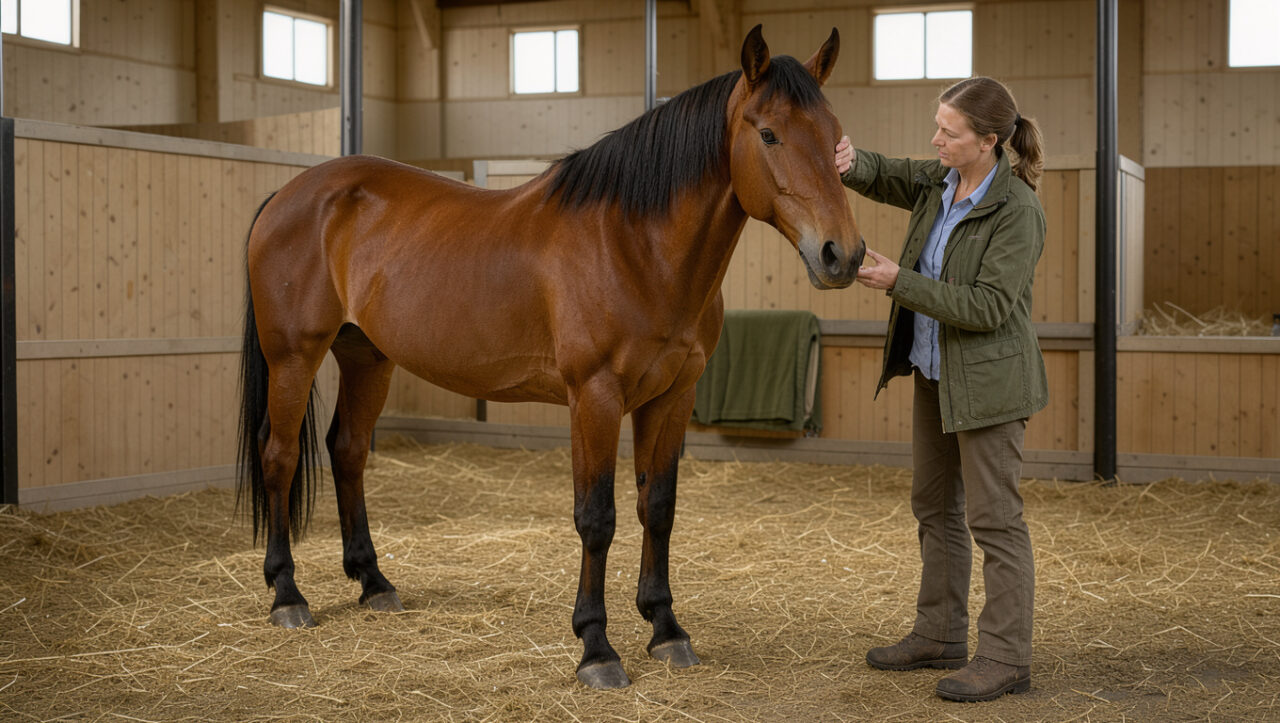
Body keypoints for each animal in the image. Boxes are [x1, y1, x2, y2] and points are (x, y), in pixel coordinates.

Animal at [237, 25, 865, 689]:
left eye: (834, 135)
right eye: (768, 133)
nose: (842, 254)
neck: (634, 245)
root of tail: (289, 194)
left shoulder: (672, 396)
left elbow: (657, 507)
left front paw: (666, 628)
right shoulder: (594, 397)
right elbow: (597, 517)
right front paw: (597, 647)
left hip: (367, 359)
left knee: (348, 451)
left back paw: (374, 583)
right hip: (294, 358)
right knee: (279, 456)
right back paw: (287, 595)